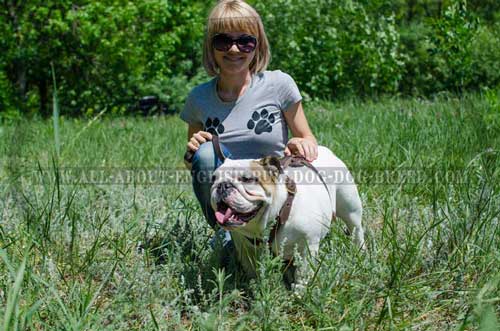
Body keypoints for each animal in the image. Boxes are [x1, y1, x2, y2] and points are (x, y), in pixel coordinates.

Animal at [210, 147, 364, 290]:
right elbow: (252, 269)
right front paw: (255, 286)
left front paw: (300, 291)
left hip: (350, 208)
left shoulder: (306, 247)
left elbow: (303, 272)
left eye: (247, 179)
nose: (222, 185)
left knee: (356, 229)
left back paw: (359, 252)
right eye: (213, 179)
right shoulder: (245, 248)